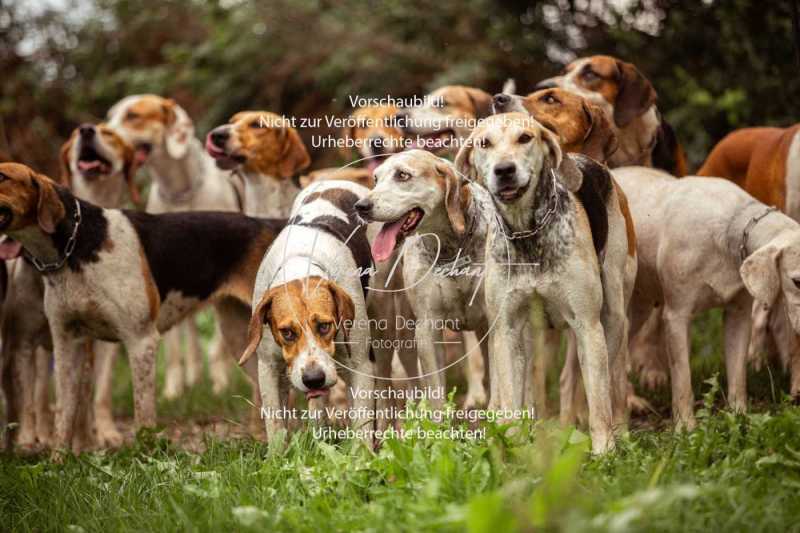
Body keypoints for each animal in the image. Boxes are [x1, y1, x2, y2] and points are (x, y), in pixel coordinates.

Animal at [456, 113, 632, 454]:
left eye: (525, 138)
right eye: (484, 143)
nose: (504, 170)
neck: (527, 233)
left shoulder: (588, 325)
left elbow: (598, 399)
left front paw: (603, 450)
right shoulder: (507, 328)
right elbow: (513, 399)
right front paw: (512, 445)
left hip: (613, 316)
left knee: (610, 382)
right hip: (526, 337)